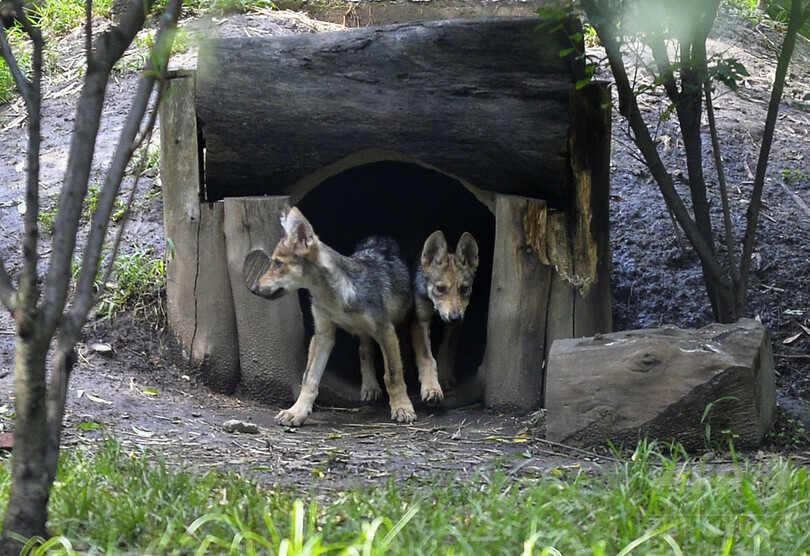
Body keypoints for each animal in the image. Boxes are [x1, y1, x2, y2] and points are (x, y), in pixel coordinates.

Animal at [250, 206, 416, 427]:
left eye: (277, 264)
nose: (253, 289)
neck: (334, 297)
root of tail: (378, 237)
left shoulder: (385, 330)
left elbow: (393, 374)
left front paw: (402, 407)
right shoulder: (322, 335)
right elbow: (309, 378)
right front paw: (296, 412)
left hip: (397, 324)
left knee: (399, 351)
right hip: (363, 331)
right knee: (365, 351)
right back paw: (370, 387)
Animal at [411, 230, 479, 405]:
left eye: (464, 289)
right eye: (440, 288)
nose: (455, 317)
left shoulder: (455, 324)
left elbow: (447, 349)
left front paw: (445, 377)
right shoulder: (420, 320)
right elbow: (427, 358)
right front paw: (431, 389)